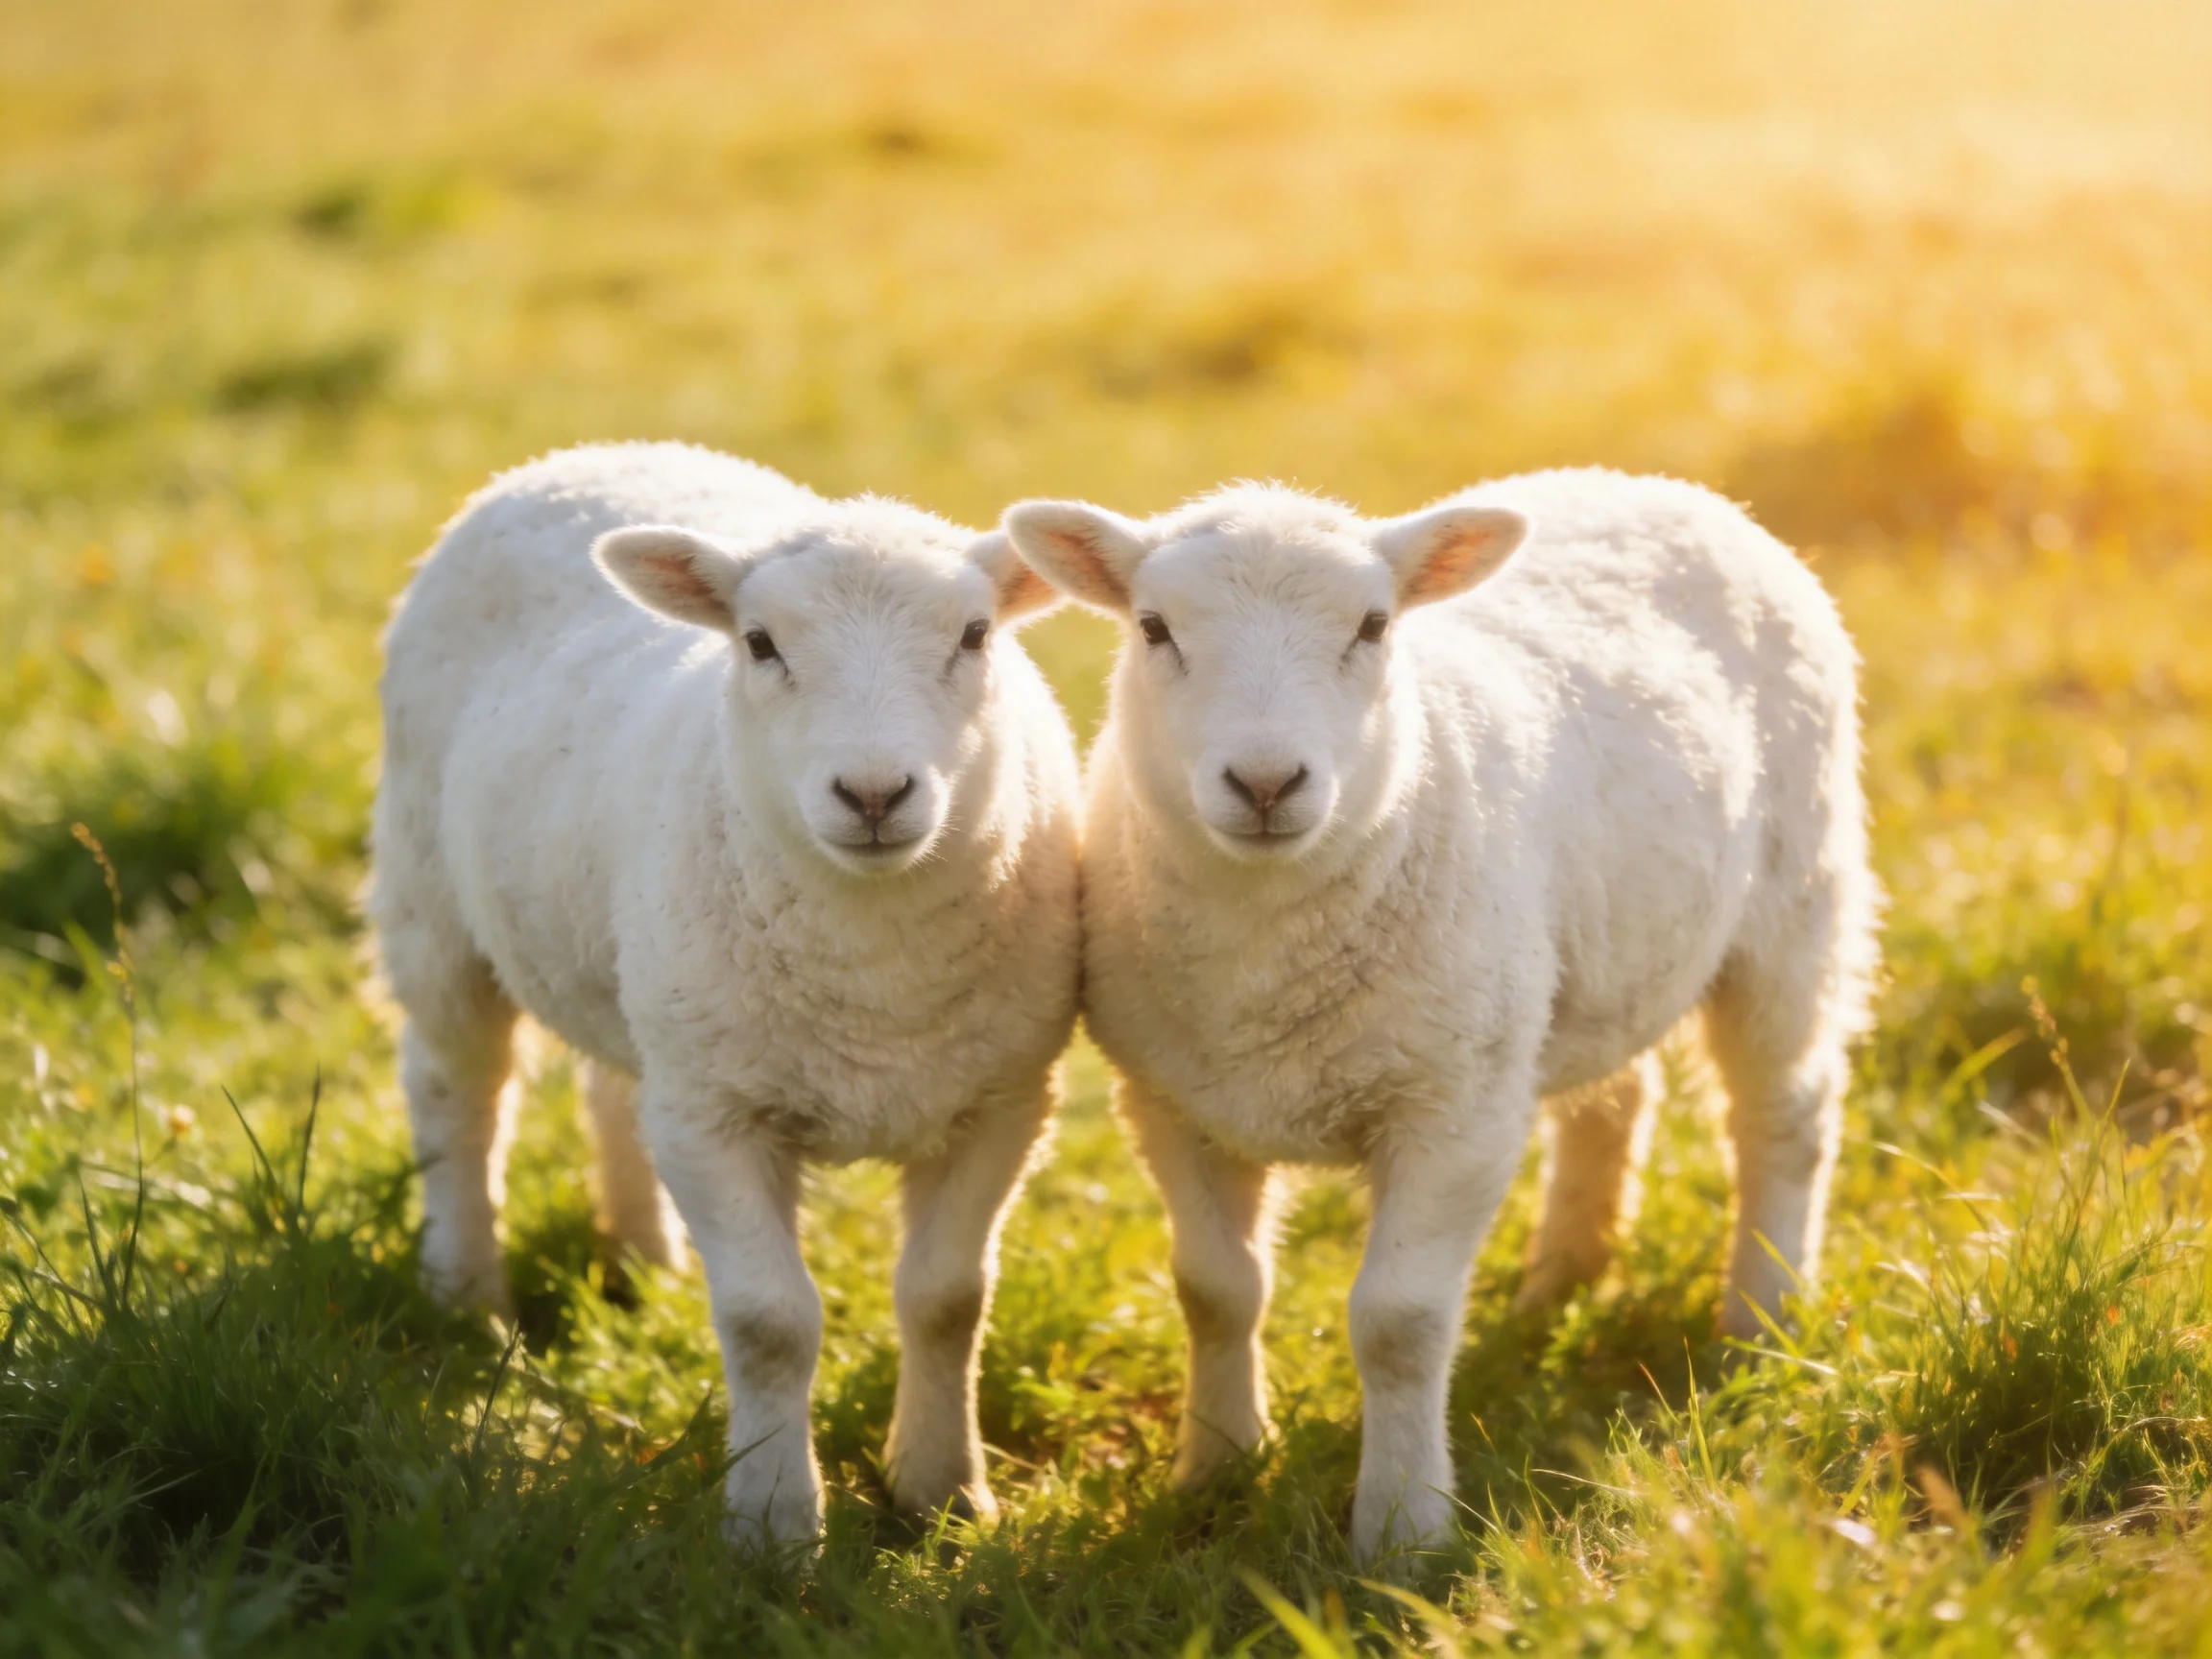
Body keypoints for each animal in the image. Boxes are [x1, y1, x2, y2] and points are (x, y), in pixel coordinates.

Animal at [371, 442, 1081, 1549]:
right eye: (760, 643)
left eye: (974, 636)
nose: (873, 795)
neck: (876, 969)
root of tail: (588, 453)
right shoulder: (717, 1114)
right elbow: (768, 1322)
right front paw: (774, 1524)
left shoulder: (1003, 1100)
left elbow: (947, 1299)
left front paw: (941, 1495)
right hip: (432, 900)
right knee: (457, 1094)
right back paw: (467, 1295)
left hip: (645, 975)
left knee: (612, 1088)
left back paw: (643, 1258)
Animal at [1003, 468, 1879, 1565]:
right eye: (1154, 627)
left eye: (1374, 626)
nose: (1265, 783)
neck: (1266, 954)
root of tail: (1656, 483)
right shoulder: (1171, 1103)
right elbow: (1214, 1292)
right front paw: (1215, 1471)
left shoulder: (1453, 1108)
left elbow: (1400, 1322)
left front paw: (1402, 1531)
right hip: (1581, 961)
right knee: (1614, 1096)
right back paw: (1564, 1278)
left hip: (1793, 904)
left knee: (1785, 1115)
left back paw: (1762, 1318)